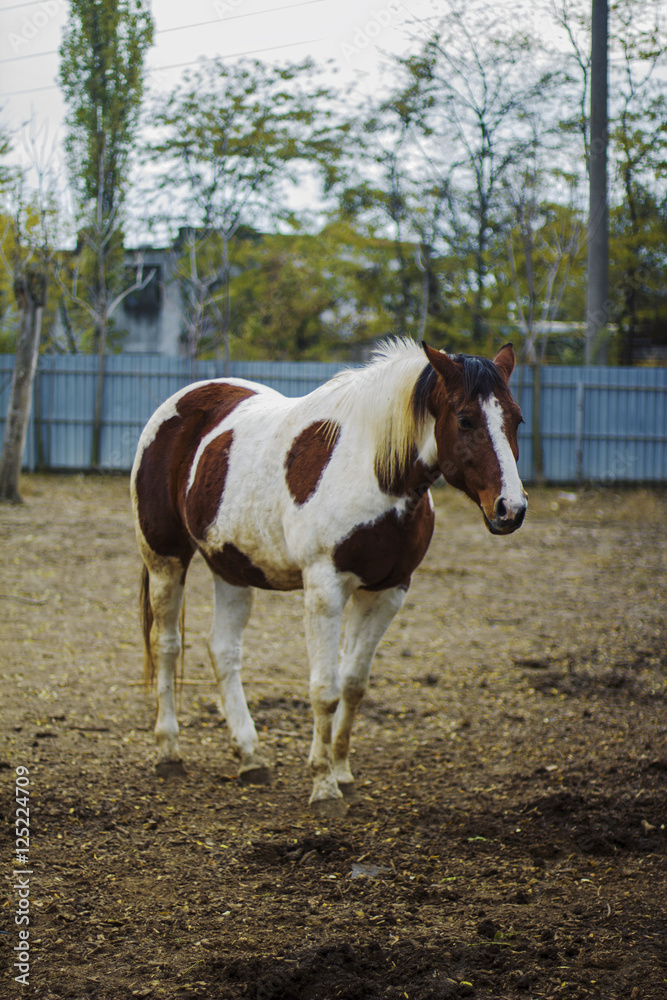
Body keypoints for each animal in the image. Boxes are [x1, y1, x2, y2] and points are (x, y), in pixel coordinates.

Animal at [130, 338, 528, 812]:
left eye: (517, 419)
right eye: (466, 419)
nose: (511, 509)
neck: (375, 473)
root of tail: (182, 401)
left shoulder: (387, 591)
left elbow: (353, 685)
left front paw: (341, 771)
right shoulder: (325, 589)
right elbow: (325, 689)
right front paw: (322, 785)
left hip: (232, 569)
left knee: (223, 650)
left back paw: (250, 757)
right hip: (165, 558)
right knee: (167, 645)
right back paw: (168, 752)